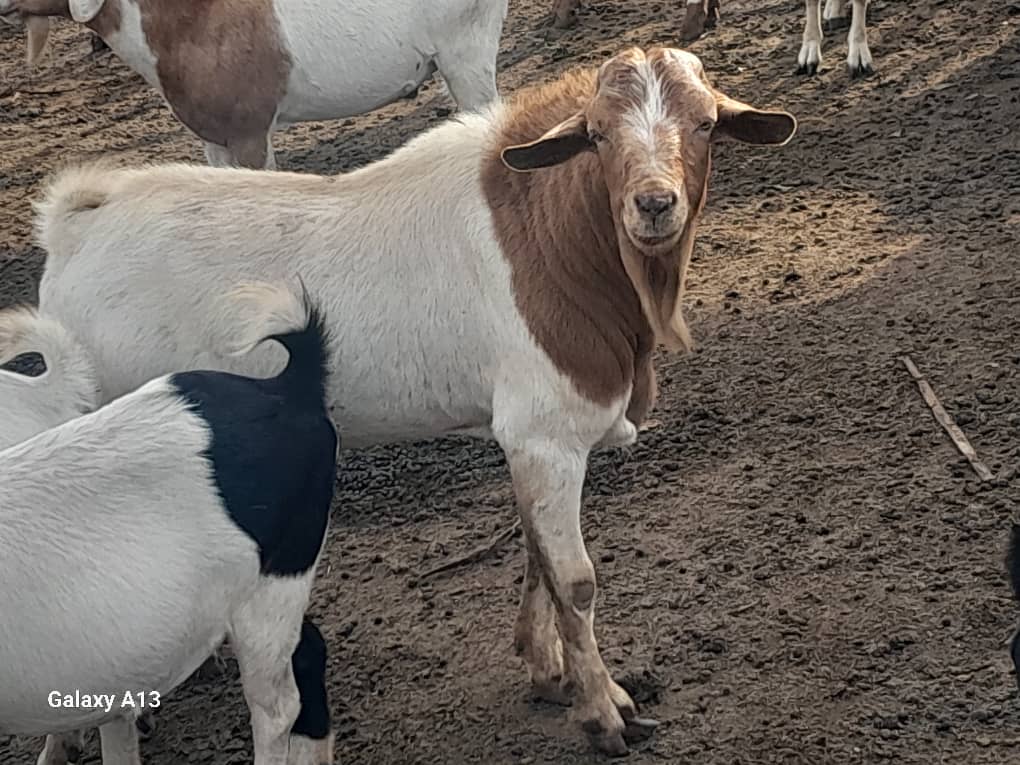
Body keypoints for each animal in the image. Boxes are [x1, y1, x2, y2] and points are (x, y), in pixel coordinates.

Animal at [32, 45, 796, 755]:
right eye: (599, 134)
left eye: (705, 124)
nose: (654, 204)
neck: (547, 237)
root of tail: (79, 222)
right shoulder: (546, 434)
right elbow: (574, 579)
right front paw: (606, 713)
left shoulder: (522, 441)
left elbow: (535, 556)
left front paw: (546, 672)